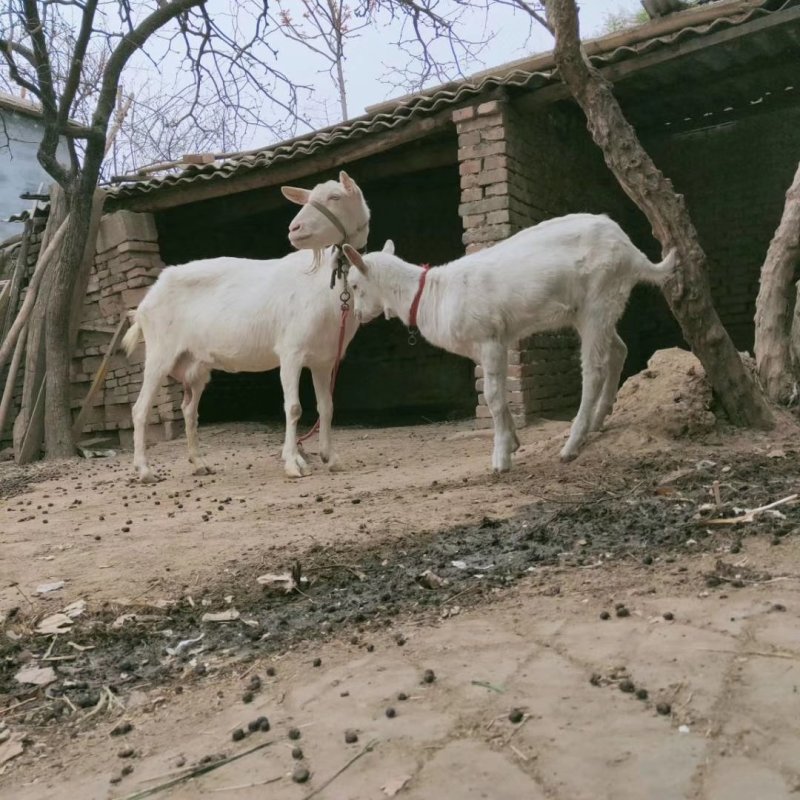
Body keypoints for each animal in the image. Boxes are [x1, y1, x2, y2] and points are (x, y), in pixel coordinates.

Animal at [120, 170, 370, 482]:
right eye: (308, 198)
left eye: (334, 197)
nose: (294, 228)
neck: (326, 283)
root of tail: (145, 303)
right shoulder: (291, 352)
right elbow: (294, 407)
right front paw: (293, 463)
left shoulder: (323, 360)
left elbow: (326, 407)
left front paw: (331, 458)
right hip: (159, 353)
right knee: (140, 409)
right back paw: (144, 470)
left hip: (196, 364)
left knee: (189, 409)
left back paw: (199, 463)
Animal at [342, 214, 676, 476]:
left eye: (355, 285)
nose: (357, 315)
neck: (431, 294)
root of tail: (632, 252)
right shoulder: (491, 345)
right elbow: (499, 393)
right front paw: (513, 440)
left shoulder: (488, 339)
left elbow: (492, 397)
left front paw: (501, 457)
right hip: (595, 309)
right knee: (618, 350)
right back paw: (598, 420)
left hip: (599, 297)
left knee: (594, 369)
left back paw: (572, 444)